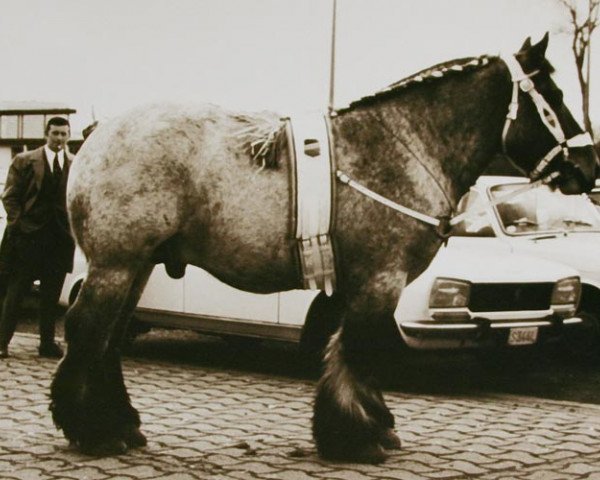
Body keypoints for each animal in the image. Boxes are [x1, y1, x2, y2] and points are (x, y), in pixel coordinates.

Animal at [50, 35, 596, 464]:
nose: (588, 167)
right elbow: (359, 348)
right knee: (87, 329)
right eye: (551, 96)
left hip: (137, 266)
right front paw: (357, 437)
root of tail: (98, 134)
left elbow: (350, 349)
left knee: (108, 338)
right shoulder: (380, 280)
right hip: (116, 265)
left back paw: (120, 424)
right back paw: (93, 431)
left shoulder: (355, 285)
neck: (401, 148)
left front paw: (372, 426)